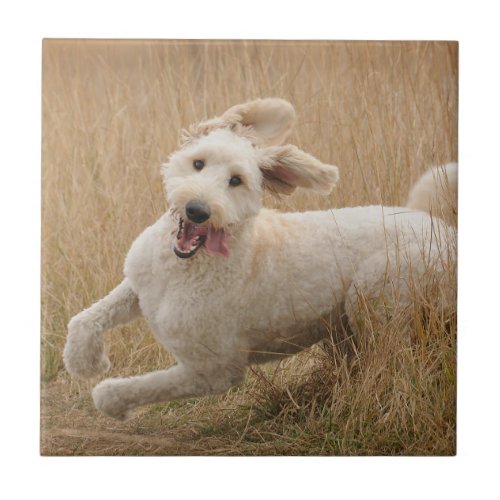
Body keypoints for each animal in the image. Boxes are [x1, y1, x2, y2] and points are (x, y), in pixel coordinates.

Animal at [63, 96, 458, 418]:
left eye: (235, 181)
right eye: (198, 163)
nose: (197, 210)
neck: (185, 268)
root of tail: (441, 227)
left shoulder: (213, 370)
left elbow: (138, 387)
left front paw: (110, 400)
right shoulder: (140, 284)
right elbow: (85, 318)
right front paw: (85, 360)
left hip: (376, 300)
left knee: (394, 363)